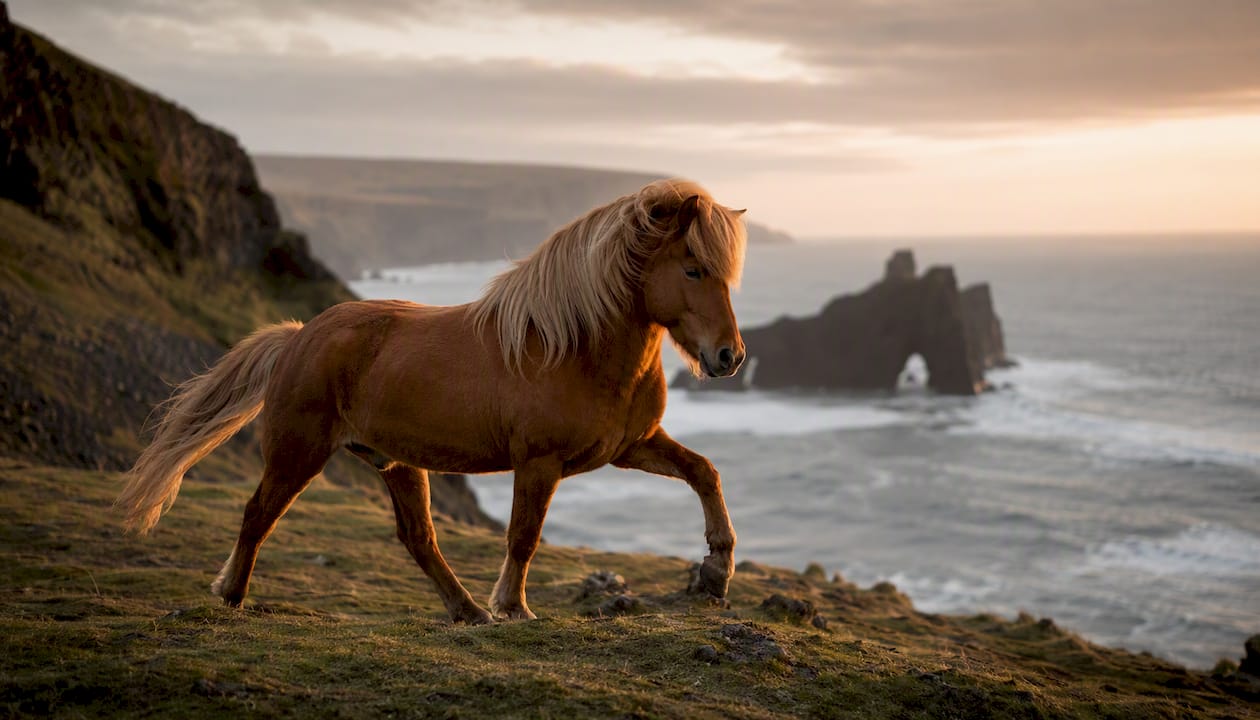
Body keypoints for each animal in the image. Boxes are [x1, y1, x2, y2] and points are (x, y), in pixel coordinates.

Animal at [116, 178, 748, 624]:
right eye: (694, 269)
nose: (729, 356)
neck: (577, 346)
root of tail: (298, 336)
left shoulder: (631, 446)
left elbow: (705, 472)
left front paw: (717, 569)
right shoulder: (538, 463)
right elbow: (524, 535)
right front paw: (513, 607)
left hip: (396, 463)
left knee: (418, 540)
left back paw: (466, 611)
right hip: (299, 453)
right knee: (258, 514)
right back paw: (232, 595)